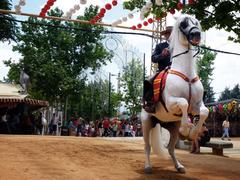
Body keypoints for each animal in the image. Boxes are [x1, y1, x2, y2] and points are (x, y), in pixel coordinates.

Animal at [142, 14, 208, 174]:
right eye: (183, 24)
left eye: (196, 22)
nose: (196, 34)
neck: (187, 75)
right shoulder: (171, 102)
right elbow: (183, 102)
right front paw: (185, 129)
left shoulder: (196, 106)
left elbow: (205, 111)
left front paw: (192, 133)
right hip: (146, 123)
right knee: (147, 147)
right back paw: (148, 166)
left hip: (172, 128)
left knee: (171, 149)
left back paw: (179, 166)